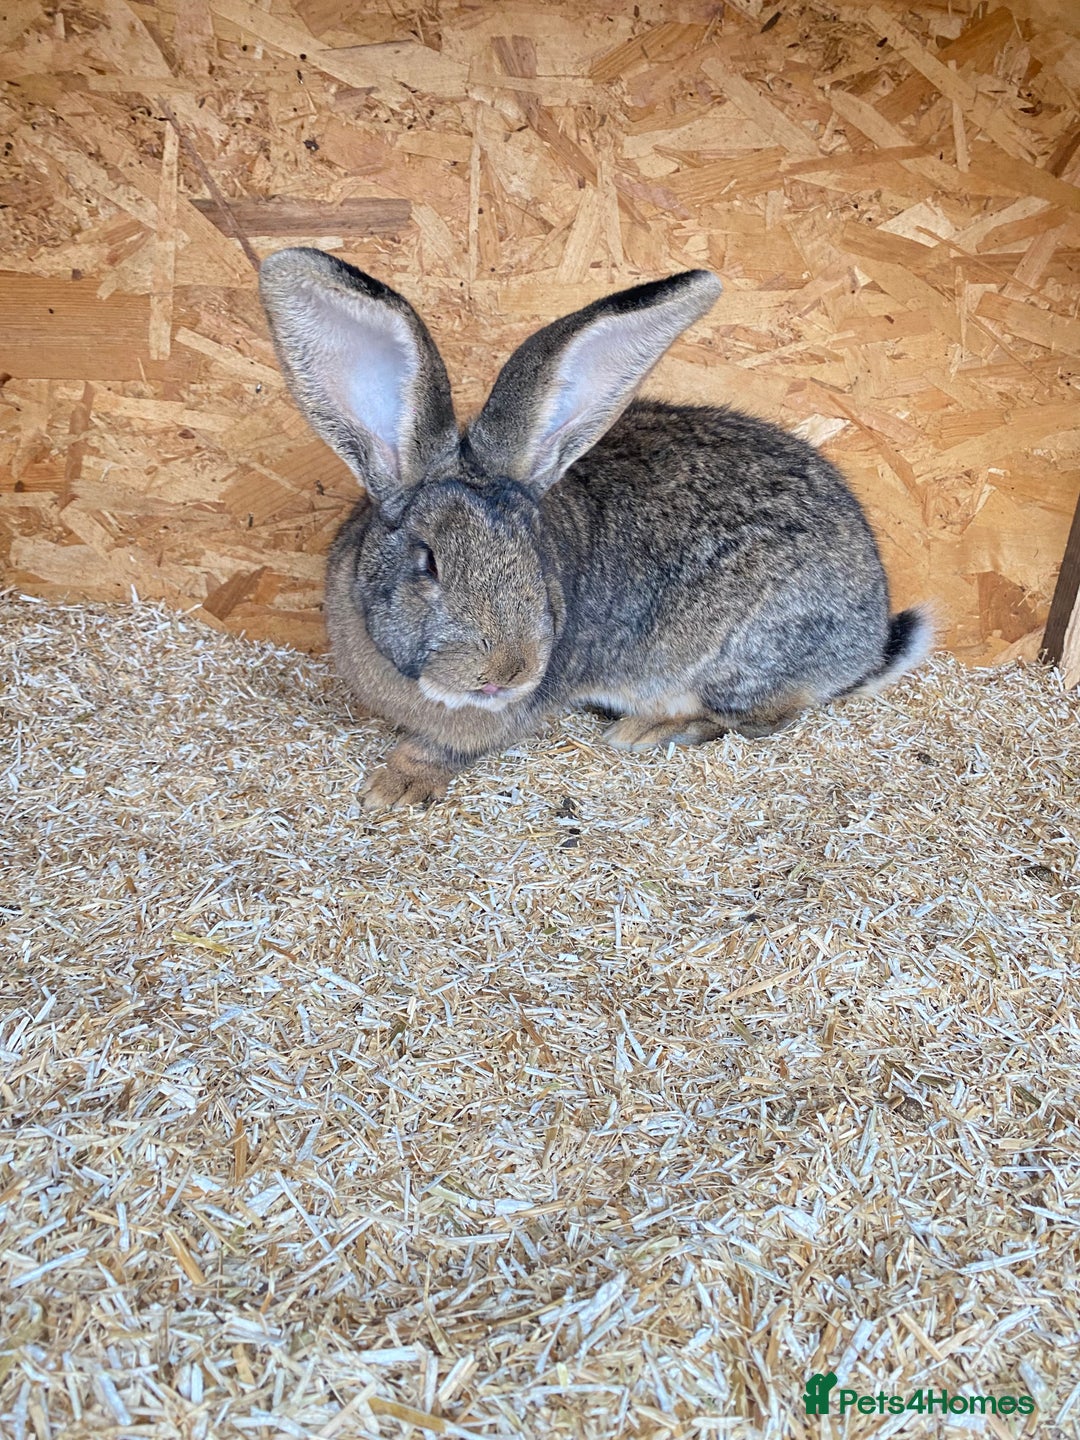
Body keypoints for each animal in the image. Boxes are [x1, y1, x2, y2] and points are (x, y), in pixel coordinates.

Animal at [259, 248, 932, 811]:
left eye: (534, 558)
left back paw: (649, 730)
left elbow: (443, 749)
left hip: (743, 656)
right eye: (427, 562)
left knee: (757, 719)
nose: (509, 670)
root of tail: (868, 640)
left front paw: (391, 788)